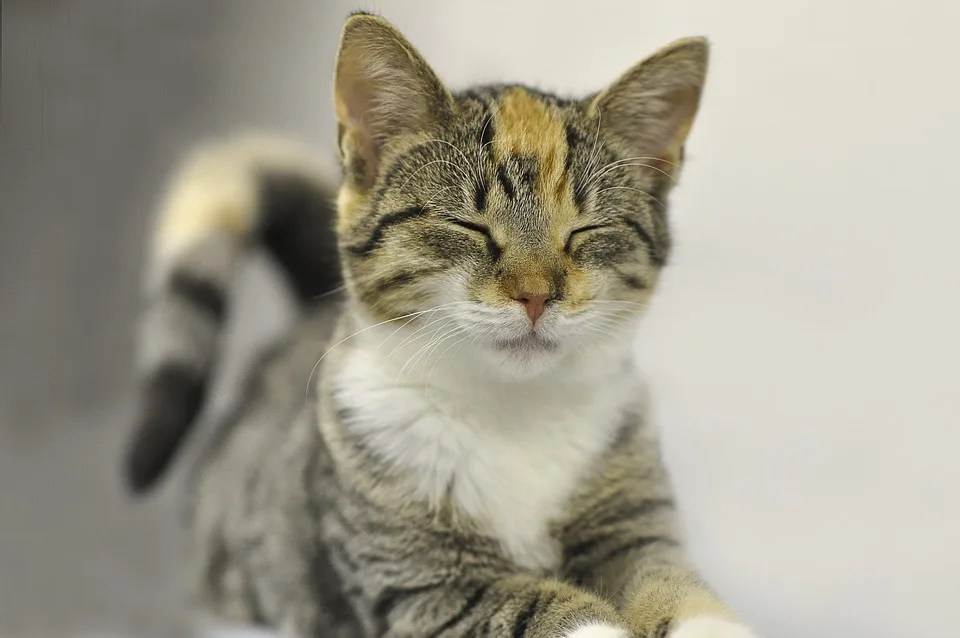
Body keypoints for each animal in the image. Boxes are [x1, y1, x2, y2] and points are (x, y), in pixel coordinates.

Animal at [124, 10, 760, 638]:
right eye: (468, 226)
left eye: (585, 232)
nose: (535, 295)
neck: (512, 412)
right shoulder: (425, 585)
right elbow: (549, 611)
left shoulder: (635, 527)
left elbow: (675, 587)